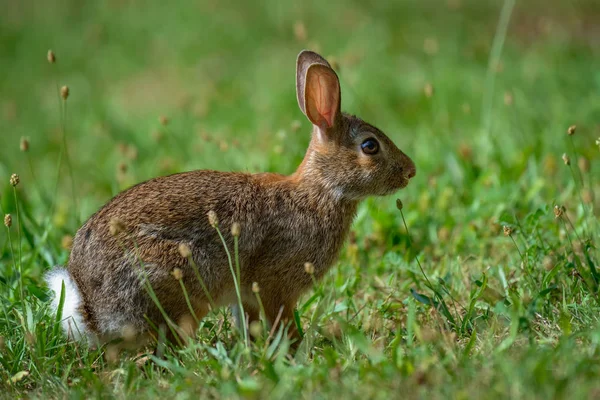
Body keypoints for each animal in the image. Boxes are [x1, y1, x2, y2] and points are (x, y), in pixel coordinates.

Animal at [44, 50, 414, 346]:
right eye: (370, 146)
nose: (410, 171)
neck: (319, 190)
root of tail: (91, 310)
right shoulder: (275, 287)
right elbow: (280, 322)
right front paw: (295, 351)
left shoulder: (246, 297)